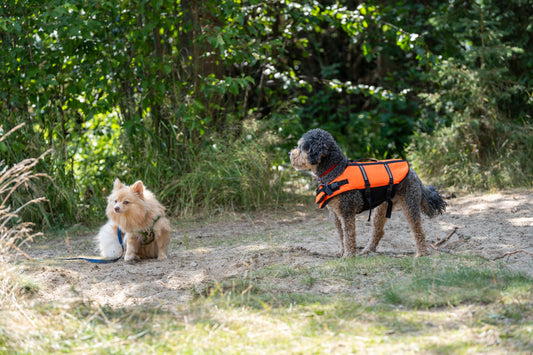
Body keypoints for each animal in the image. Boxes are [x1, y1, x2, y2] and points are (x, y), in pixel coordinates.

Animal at [288, 129, 446, 258]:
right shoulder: (335, 214)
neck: (336, 170)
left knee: (418, 229)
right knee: (378, 231)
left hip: (410, 204)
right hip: (382, 208)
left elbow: (349, 235)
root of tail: (413, 172)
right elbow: (341, 235)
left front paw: (348, 255)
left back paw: (422, 252)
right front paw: (341, 252)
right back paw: (368, 250)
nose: (290, 153)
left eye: (301, 147)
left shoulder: (346, 212)